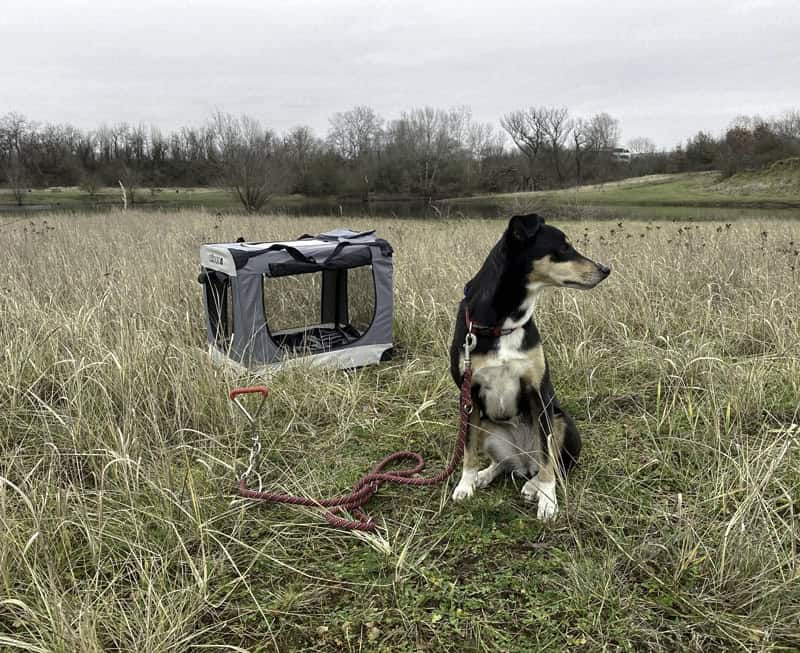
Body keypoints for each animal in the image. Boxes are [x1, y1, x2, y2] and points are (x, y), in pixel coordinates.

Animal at [446, 214, 608, 520]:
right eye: (564, 247)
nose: (606, 269)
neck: (504, 323)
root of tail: (524, 460)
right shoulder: (469, 397)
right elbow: (468, 449)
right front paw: (465, 483)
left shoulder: (538, 393)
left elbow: (548, 459)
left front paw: (548, 500)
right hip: (489, 429)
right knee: (505, 464)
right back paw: (485, 475)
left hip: (561, 421)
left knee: (553, 463)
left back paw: (533, 486)